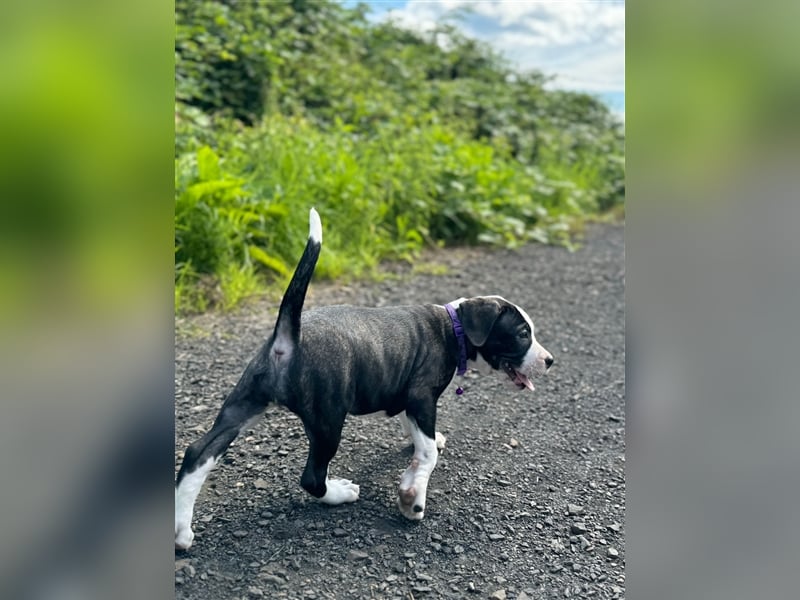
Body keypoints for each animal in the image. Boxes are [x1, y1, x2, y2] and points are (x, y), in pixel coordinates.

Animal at [173, 209, 552, 552]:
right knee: (311, 477)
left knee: (198, 453)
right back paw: (339, 493)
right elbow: (427, 452)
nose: (549, 361)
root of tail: (288, 337)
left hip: (243, 404)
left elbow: (417, 433)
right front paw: (413, 497)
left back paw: (180, 530)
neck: (453, 325)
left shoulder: (409, 398)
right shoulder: (422, 396)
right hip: (327, 420)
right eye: (522, 334)